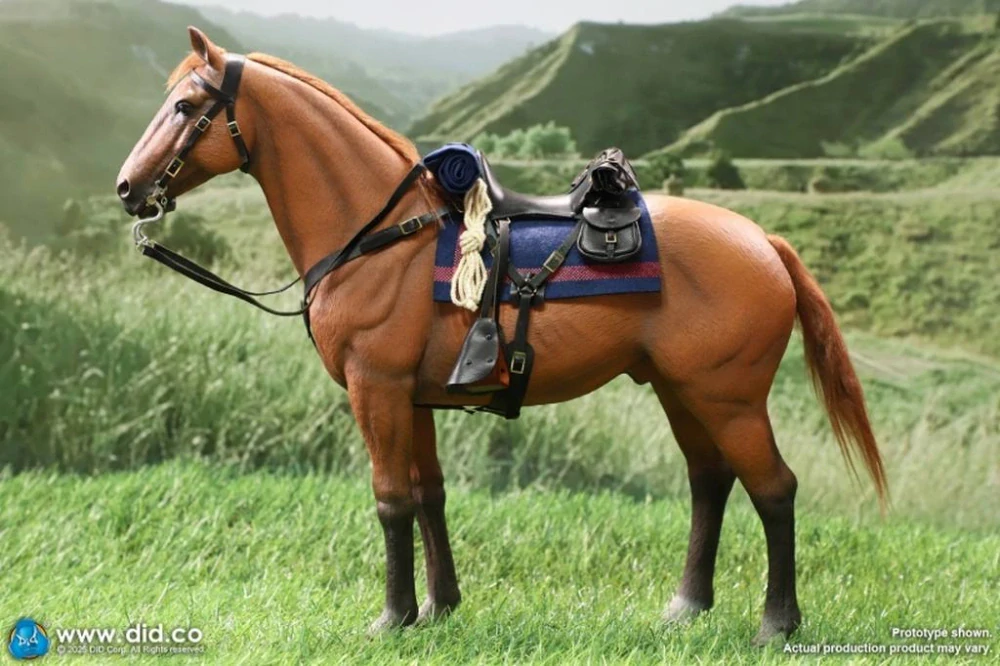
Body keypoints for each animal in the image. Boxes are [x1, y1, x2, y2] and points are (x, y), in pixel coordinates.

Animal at [116, 27, 888, 645]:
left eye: (184, 107)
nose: (127, 188)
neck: (384, 237)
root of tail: (764, 241)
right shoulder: (413, 400)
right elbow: (428, 495)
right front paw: (438, 607)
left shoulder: (376, 389)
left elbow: (391, 499)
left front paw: (392, 618)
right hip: (682, 392)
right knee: (710, 481)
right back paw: (686, 606)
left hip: (730, 398)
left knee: (774, 489)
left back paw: (776, 623)